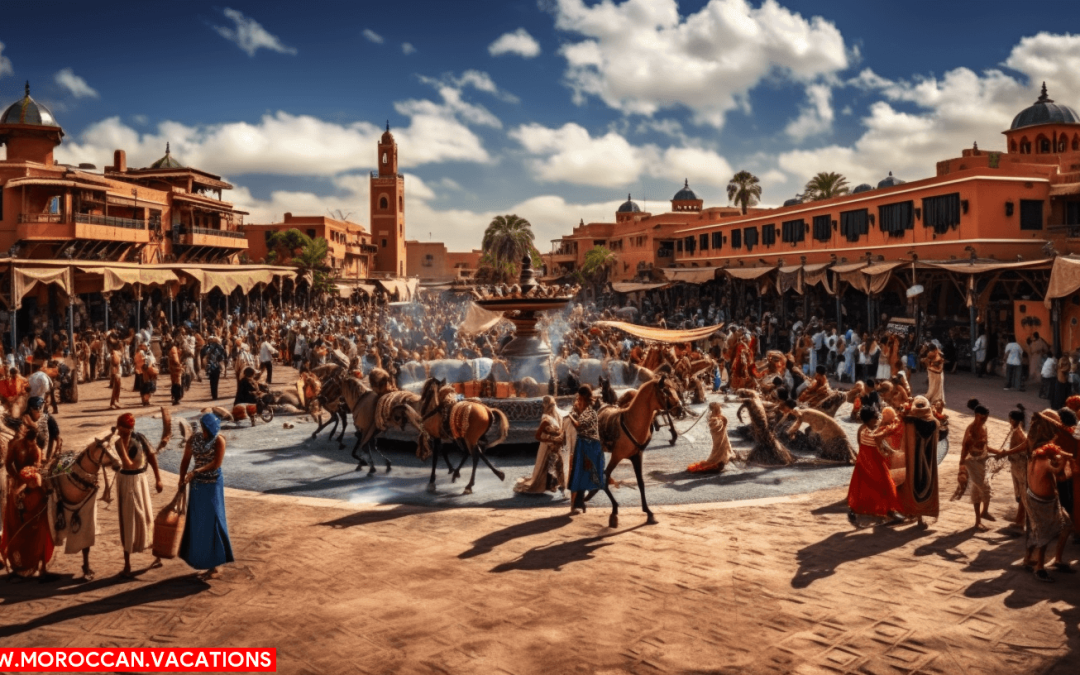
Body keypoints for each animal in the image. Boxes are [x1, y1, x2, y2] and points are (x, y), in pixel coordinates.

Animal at [591, 373, 682, 527]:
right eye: (666, 391)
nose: (680, 409)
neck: (631, 422)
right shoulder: (617, 456)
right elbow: (606, 476)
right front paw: (614, 512)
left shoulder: (637, 456)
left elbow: (641, 482)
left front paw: (649, 513)